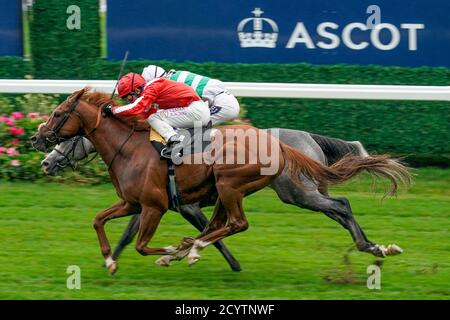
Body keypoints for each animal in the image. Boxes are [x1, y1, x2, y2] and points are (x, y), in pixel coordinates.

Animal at [31, 89, 410, 274]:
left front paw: (186, 253)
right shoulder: (141, 203)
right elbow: (117, 228)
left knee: (337, 206)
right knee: (338, 210)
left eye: (59, 115)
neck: (133, 146)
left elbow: (191, 235)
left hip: (287, 191)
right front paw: (111, 261)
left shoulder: (170, 205)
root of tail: (289, 143)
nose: (42, 151)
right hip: (293, 191)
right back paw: (375, 247)